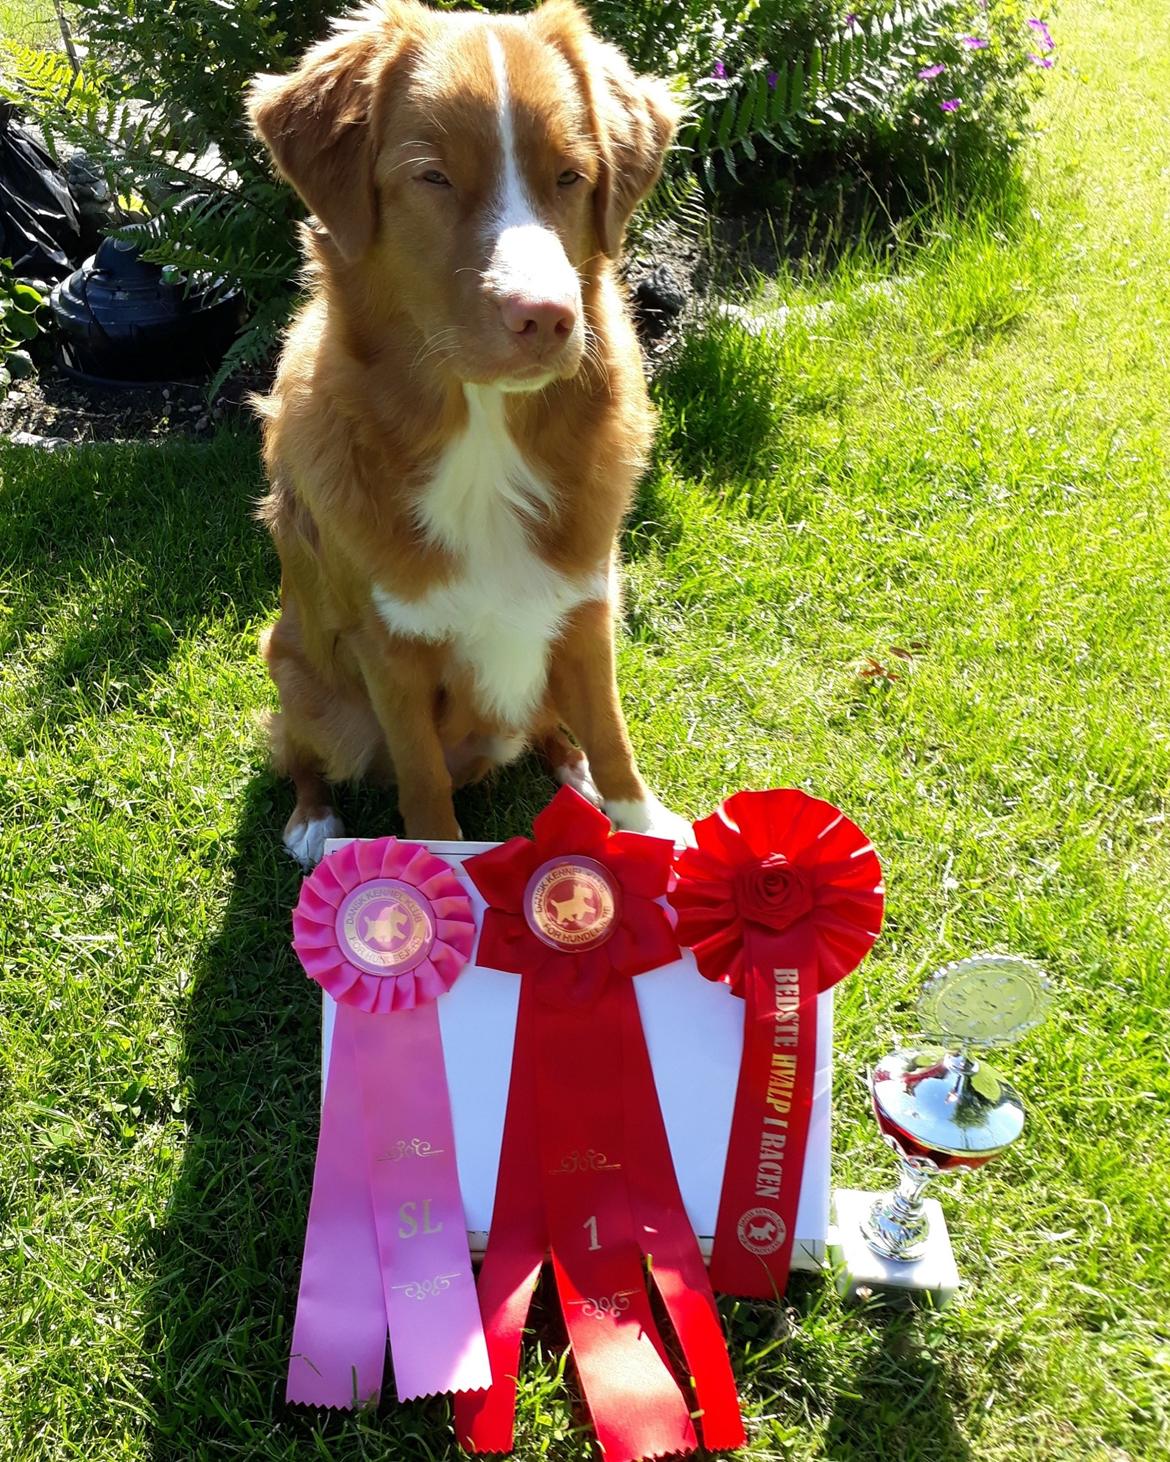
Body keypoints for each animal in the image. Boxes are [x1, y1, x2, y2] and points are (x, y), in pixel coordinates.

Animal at [244, 0, 684, 859]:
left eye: (570, 176)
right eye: (434, 177)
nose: (546, 317)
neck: (484, 437)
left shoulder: (588, 607)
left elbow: (613, 734)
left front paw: (647, 826)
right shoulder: (391, 653)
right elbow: (423, 784)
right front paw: (432, 868)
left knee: (555, 730)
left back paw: (572, 771)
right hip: (301, 672)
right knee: (299, 749)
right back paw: (314, 821)